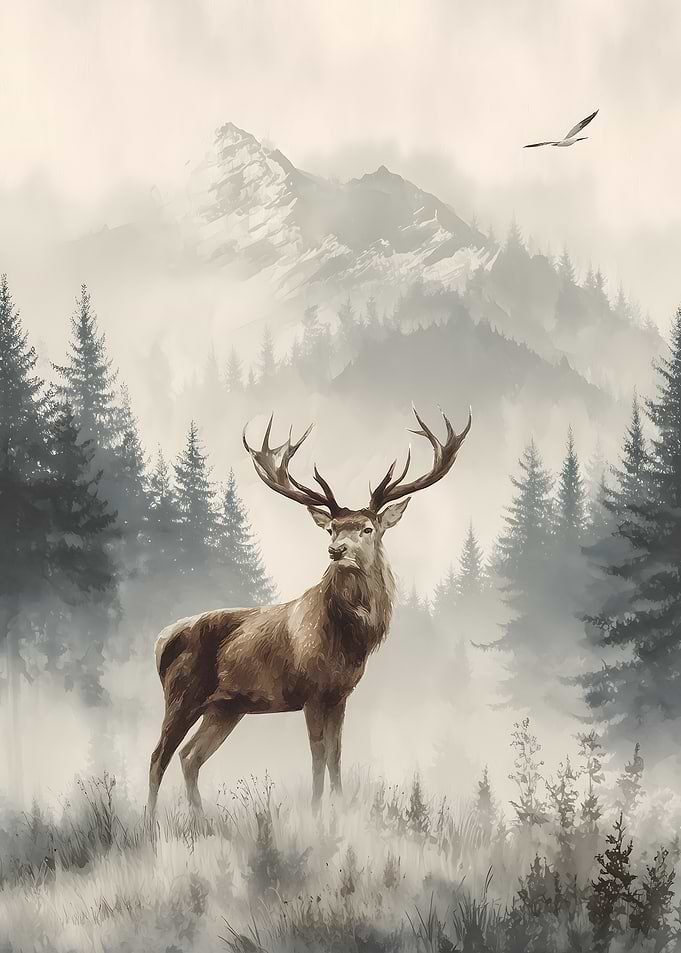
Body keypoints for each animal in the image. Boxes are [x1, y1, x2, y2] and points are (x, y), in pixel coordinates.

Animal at [147, 406, 471, 819]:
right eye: (331, 528)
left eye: (368, 528)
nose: (336, 551)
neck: (349, 642)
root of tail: (161, 640)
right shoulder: (312, 691)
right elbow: (317, 756)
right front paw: (316, 814)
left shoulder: (340, 694)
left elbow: (336, 756)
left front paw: (340, 808)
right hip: (182, 694)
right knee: (159, 756)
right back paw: (150, 824)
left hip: (225, 707)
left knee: (190, 757)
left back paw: (201, 821)